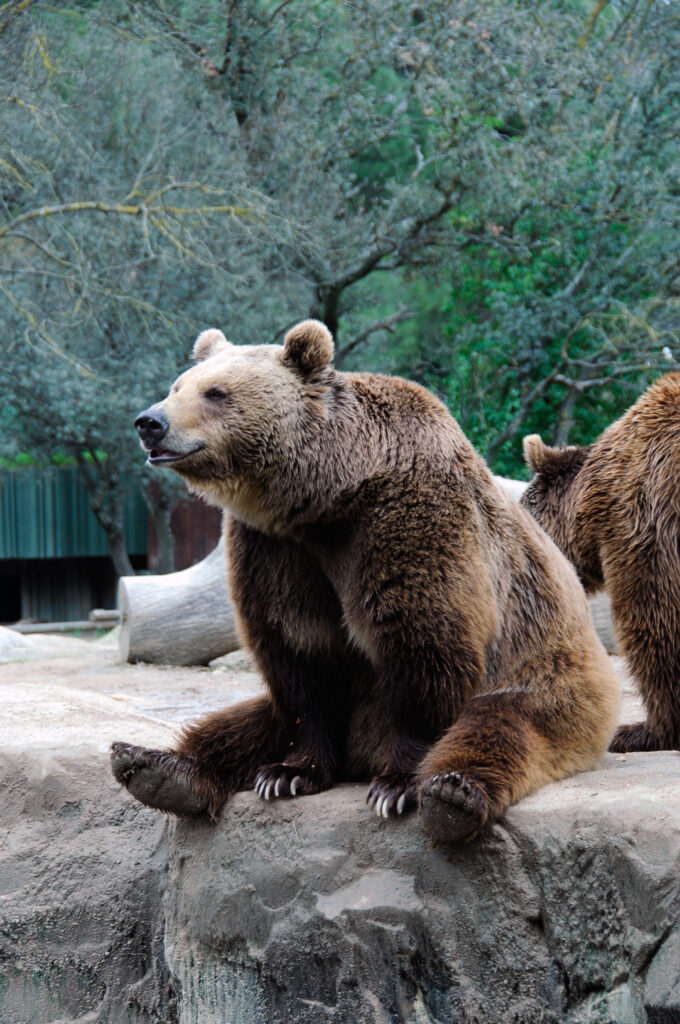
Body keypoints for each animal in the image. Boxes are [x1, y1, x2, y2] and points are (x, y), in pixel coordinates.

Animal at [111, 319, 620, 843]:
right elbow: (300, 656)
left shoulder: (406, 520)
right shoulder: (275, 549)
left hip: (546, 681)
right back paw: (154, 766)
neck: (328, 496)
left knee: (498, 729)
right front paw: (289, 773)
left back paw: (452, 794)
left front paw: (396, 784)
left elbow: (424, 647)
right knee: (246, 722)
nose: (149, 422)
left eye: (215, 392)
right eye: (177, 386)